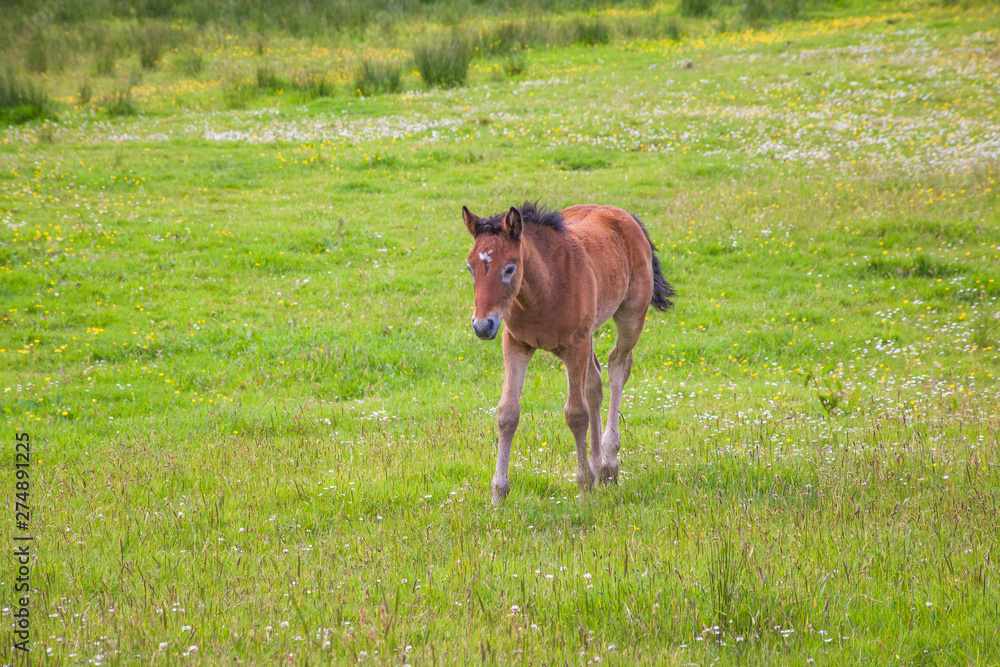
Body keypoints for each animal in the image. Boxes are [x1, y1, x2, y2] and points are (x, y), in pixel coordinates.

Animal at [461, 201, 675, 504]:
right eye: (470, 268)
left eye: (510, 269)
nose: (482, 325)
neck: (543, 290)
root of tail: (623, 215)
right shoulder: (515, 344)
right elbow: (507, 413)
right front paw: (498, 494)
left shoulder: (575, 347)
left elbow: (576, 414)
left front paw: (583, 486)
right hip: (590, 333)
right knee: (595, 382)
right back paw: (599, 468)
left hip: (631, 315)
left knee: (618, 366)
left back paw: (608, 465)